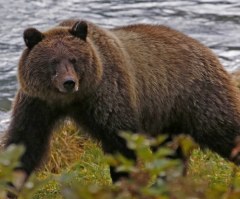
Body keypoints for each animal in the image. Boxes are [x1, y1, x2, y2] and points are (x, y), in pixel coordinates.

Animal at [5, 18, 240, 193]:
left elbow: (120, 142)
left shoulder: (108, 93)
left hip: (197, 95)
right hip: (168, 116)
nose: (69, 82)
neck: (71, 100)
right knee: (170, 153)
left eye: (73, 59)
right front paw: (10, 184)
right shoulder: (37, 102)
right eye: (53, 61)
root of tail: (203, 47)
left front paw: (123, 183)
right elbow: (25, 141)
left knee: (223, 129)